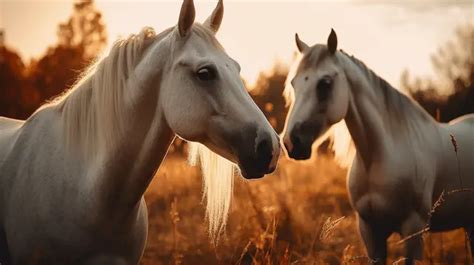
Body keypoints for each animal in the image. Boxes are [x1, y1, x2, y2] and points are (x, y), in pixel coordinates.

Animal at [284, 29, 472, 264]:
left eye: (324, 84)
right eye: (294, 84)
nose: (290, 142)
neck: (377, 158)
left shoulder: (414, 230)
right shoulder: (370, 231)